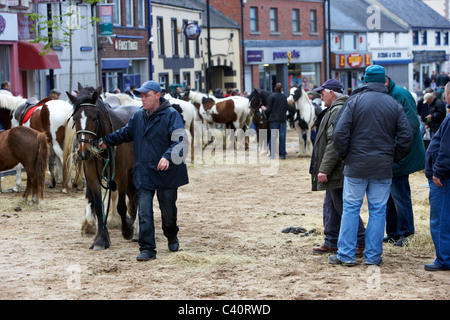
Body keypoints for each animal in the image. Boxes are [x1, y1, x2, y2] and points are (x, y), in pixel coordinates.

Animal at [67, 84, 139, 250]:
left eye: (94, 117)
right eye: (75, 118)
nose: (84, 151)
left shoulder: (120, 176)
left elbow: (120, 206)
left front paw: (127, 230)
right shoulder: (92, 176)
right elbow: (99, 207)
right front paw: (100, 239)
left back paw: (136, 229)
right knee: (133, 198)